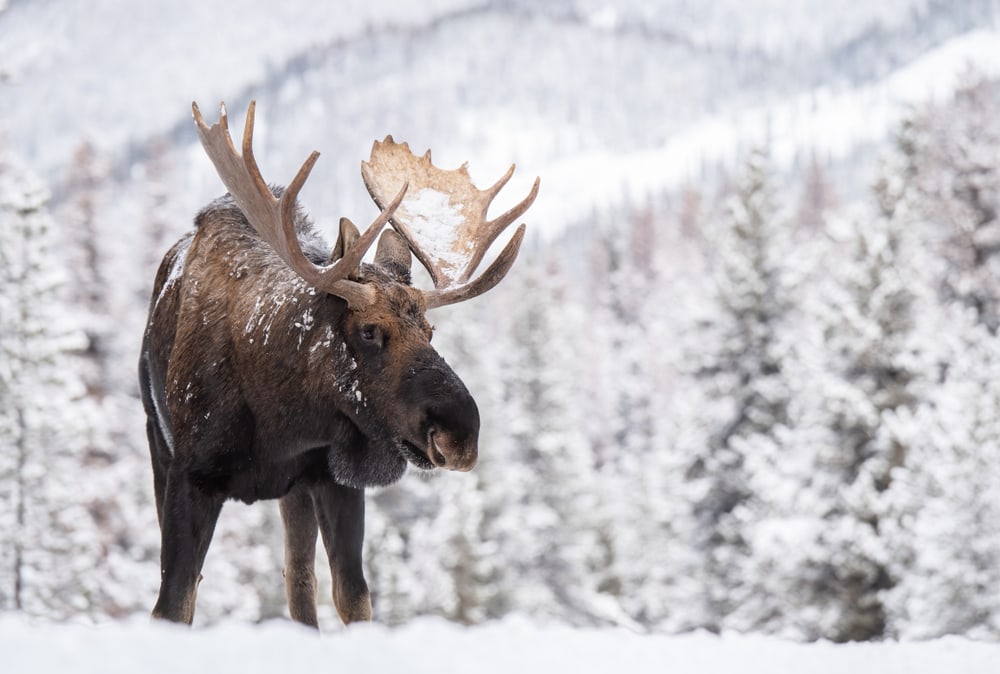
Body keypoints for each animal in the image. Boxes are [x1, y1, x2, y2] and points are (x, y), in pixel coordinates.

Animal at [138, 100, 538, 626]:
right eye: (368, 330)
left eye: (431, 331)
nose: (460, 433)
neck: (279, 420)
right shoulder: (189, 475)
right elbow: (173, 604)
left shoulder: (334, 480)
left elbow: (354, 597)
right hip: (157, 442)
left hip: (295, 493)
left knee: (299, 583)